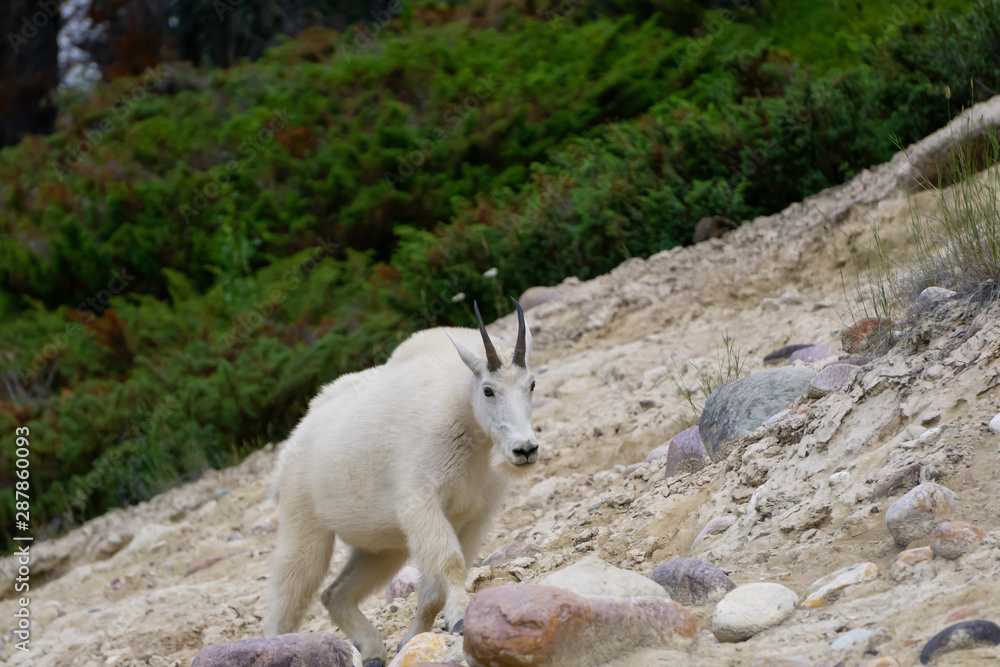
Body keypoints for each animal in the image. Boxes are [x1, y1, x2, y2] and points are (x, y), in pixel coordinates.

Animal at [263, 299, 539, 667]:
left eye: (531, 384)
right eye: (488, 390)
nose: (525, 449)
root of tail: (290, 446)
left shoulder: (475, 516)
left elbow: (436, 586)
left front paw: (412, 639)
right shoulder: (422, 501)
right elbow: (449, 561)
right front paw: (461, 616)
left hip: (382, 547)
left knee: (334, 594)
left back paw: (372, 651)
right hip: (303, 527)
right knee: (286, 599)